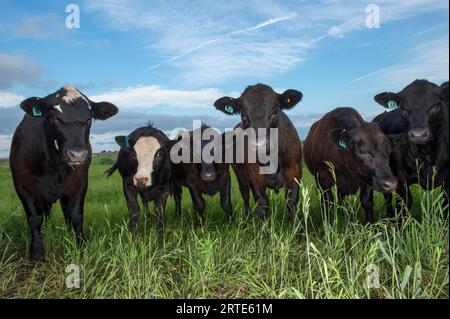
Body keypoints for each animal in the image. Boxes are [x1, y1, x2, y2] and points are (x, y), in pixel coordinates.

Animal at [9, 86, 118, 262]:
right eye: (55, 117)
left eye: (89, 118)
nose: (77, 154)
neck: (54, 164)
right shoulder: (23, 184)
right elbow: (34, 218)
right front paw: (37, 252)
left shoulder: (79, 182)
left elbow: (75, 215)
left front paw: (80, 245)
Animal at [214, 84, 302, 220]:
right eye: (243, 114)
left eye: (275, 110)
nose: (259, 145)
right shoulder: (253, 176)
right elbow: (261, 203)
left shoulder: (295, 171)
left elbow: (292, 202)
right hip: (239, 173)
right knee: (245, 193)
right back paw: (247, 216)